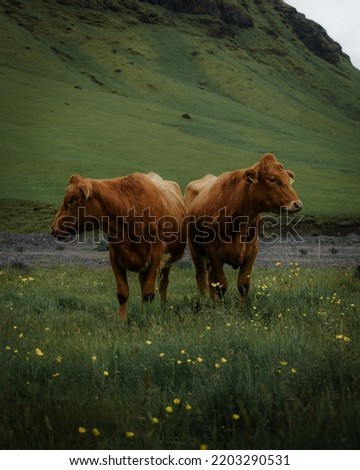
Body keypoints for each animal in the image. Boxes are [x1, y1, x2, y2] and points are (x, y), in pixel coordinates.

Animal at [51, 172, 187, 320]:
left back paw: (162, 307)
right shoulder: (115, 256)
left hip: (167, 261)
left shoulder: (156, 256)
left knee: (163, 284)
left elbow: (148, 292)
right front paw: (122, 320)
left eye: (70, 200)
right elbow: (123, 293)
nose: (53, 229)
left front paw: (145, 316)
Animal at [187, 153, 302, 302]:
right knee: (202, 276)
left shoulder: (252, 250)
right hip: (195, 249)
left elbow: (243, 284)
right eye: (272, 179)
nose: (297, 204)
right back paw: (205, 301)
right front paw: (219, 307)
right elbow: (221, 285)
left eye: (288, 179)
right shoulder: (213, 252)